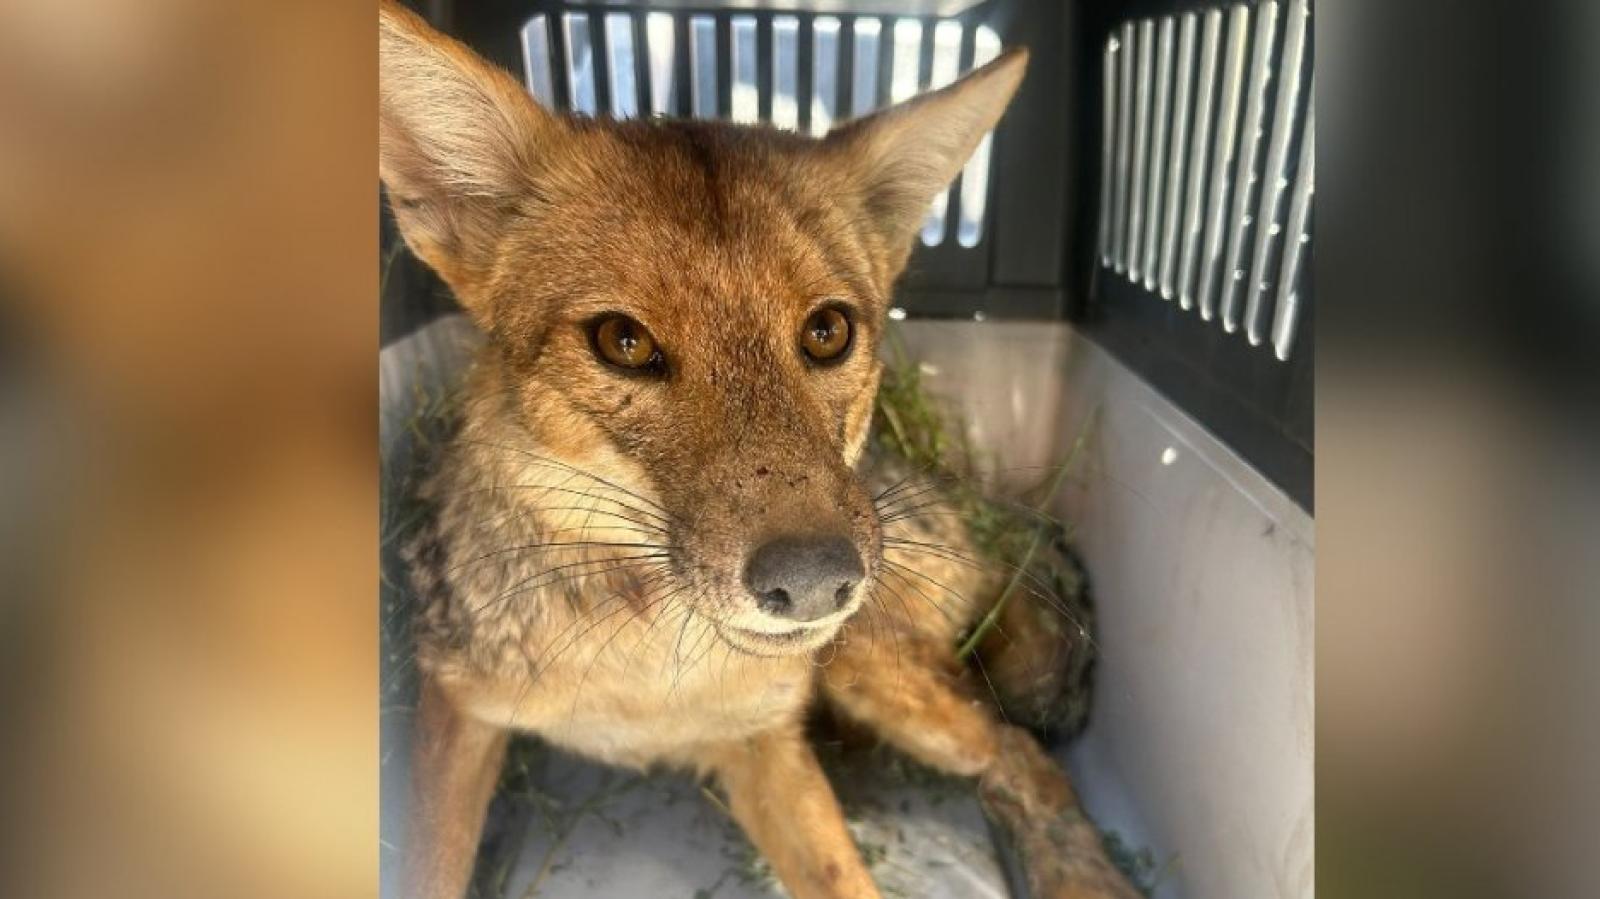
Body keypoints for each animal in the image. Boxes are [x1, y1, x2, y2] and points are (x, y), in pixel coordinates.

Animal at [380, 3, 1139, 897]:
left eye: (828, 331)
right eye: (623, 341)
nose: (814, 582)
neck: (648, 682)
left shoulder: (766, 740)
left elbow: (849, 874)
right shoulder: (455, 712)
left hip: (866, 669)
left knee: (1020, 753)